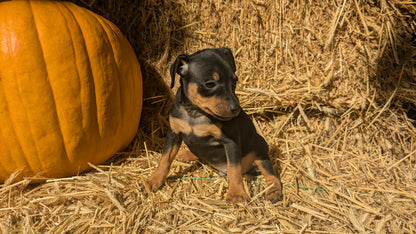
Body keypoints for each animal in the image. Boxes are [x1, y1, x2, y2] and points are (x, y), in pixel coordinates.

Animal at [146, 47, 282, 203]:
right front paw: (154, 180)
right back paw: (185, 154)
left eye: (234, 81)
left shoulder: (231, 142)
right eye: (210, 84)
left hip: (259, 149)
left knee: (270, 173)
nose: (236, 109)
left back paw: (273, 191)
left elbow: (234, 170)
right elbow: (165, 159)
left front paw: (236, 194)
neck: (195, 113)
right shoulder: (173, 134)